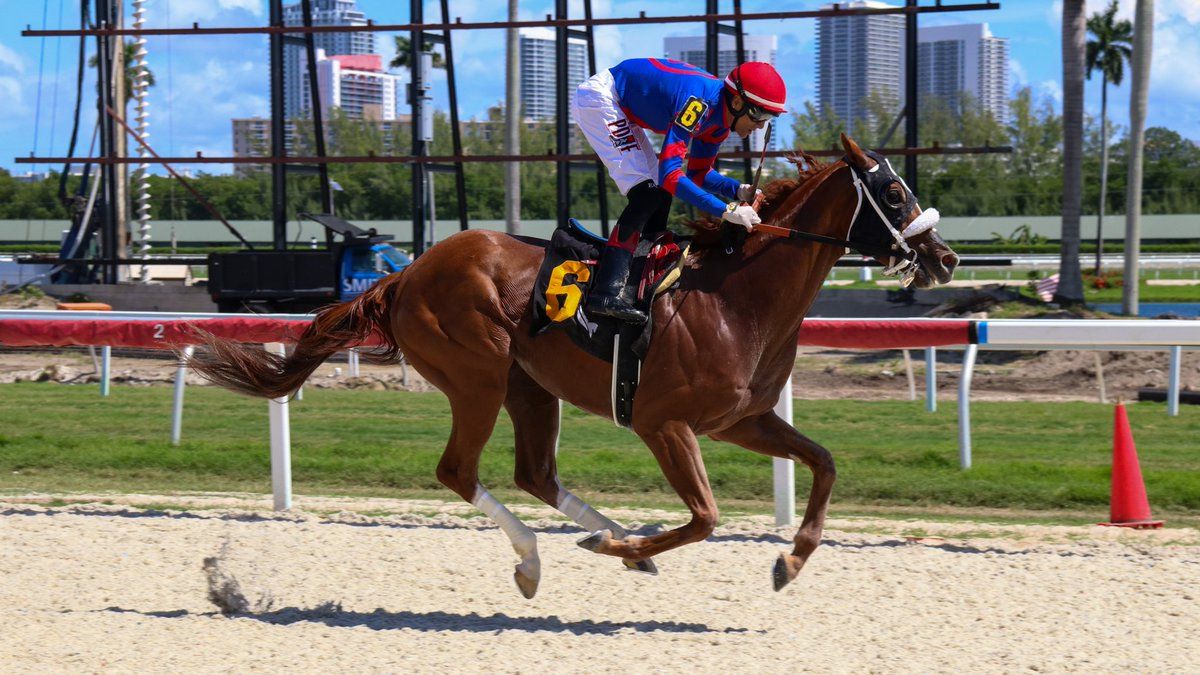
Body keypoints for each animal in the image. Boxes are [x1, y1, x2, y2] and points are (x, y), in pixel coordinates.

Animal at [184, 133, 955, 595]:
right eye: (893, 193)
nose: (944, 257)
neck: (736, 296)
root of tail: (405, 273)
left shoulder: (742, 418)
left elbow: (823, 462)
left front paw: (790, 559)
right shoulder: (664, 423)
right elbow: (705, 517)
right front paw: (621, 548)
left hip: (529, 384)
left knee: (535, 472)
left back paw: (610, 537)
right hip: (478, 374)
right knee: (459, 471)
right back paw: (539, 556)